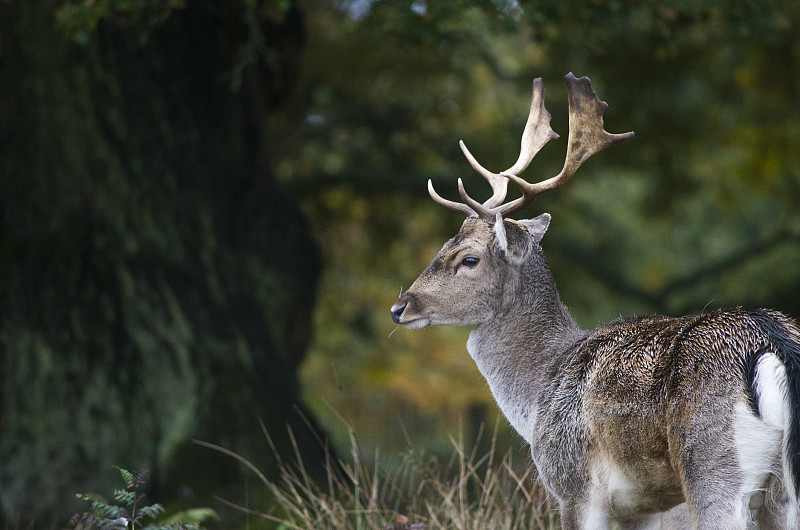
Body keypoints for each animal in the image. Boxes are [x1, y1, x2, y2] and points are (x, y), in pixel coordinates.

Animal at [390, 74, 800, 528]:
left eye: (469, 259)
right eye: (444, 244)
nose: (400, 307)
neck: (539, 392)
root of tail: (772, 341)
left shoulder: (573, 484)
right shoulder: (641, 508)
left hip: (712, 464)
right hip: (782, 491)